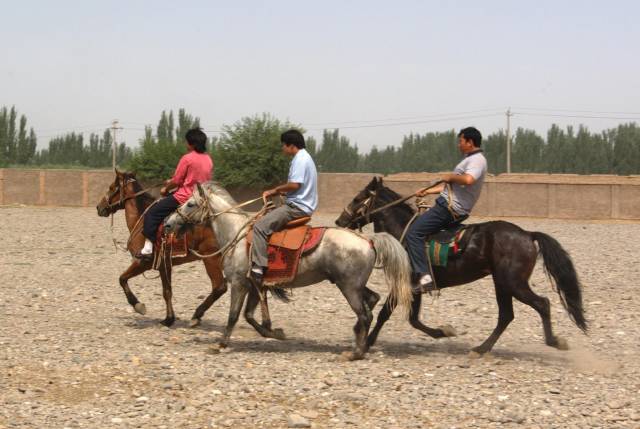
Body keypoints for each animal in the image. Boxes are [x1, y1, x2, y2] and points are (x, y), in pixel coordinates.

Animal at [96, 171, 282, 338]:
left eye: (112, 187)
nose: (99, 207)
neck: (141, 219)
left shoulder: (143, 263)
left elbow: (122, 279)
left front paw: (139, 306)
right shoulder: (165, 265)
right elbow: (167, 291)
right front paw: (168, 319)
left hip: (211, 260)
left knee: (220, 287)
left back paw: (197, 316)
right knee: (259, 286)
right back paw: (266, 325)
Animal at [165, 181, 412, 358]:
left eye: (190, 203)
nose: (168, 223)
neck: (237, 234)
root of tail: (368, 240)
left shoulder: (239, 283)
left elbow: (234, 315)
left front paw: (221, 344)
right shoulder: (255, 285)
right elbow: (250, 316)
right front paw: (276, 333)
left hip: (349, 287)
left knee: (365, 314)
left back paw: (357, 352)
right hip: (352, 284)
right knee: (372, 300)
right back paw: (359, 340)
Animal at [338, 177, 588, 354]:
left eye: (358, 198)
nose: (340, 221)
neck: (403, 233)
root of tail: (527, 234)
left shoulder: (405, 283)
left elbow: (385, 314)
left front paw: (367, 342)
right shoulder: (416, 287)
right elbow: (413, 319)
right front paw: (443, 332)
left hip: (513, 283)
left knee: (541, 304)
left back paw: (554, 341)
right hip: (502, 284)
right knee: (506, 316)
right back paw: (481, 348)